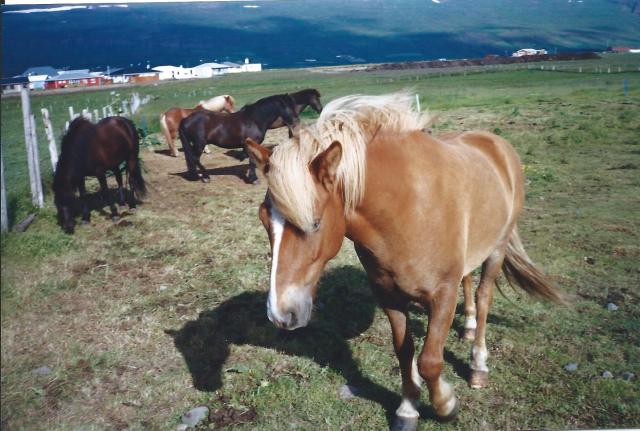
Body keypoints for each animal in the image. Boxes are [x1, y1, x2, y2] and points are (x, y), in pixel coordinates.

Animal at [244, 91, 565, 431]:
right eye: (264, 220)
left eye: (315, 223)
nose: (280, 314)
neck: (407, 209)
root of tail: (497, 144)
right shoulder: (389, 296)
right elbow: (404, 352)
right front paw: (408, 409)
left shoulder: (442, 295)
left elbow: (429, 361)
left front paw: (446, 405)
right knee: (468, 280)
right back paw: (468, 325)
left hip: (497, 249)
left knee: (484, 296)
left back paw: (478, 364)